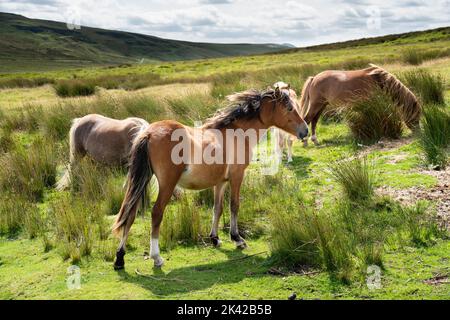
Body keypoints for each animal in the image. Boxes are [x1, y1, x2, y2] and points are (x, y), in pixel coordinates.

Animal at [112, 86, 310, 268]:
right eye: (290, 108)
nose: (305, 130)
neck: (236, 133)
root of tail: (148, 133)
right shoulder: (237, 177)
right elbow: (234, 206)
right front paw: (237, 238)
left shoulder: (220, 182)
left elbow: (217, 208)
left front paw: (215, 238)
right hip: (167, 185)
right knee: (156, 213)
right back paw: (156, 257)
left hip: (141, 181)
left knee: (130, 213)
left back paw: (120, 258)